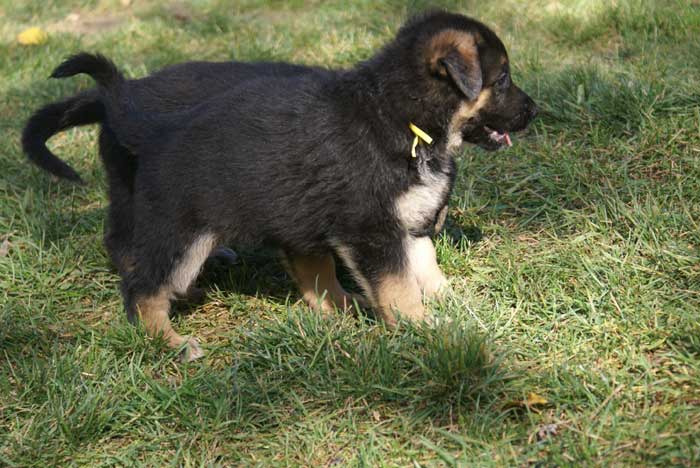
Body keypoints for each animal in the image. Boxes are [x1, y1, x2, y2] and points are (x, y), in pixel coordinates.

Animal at [53, 11, 536, 362]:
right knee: (143, 287)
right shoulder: (373, 231)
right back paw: (168, 342)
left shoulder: (408, 226)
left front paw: (457, 309)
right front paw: (423, 330)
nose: (535, 110)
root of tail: (154, 129)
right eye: (503, 79)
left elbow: (428, 272)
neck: (400, 114)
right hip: (181, 232)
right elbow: (399, 287)